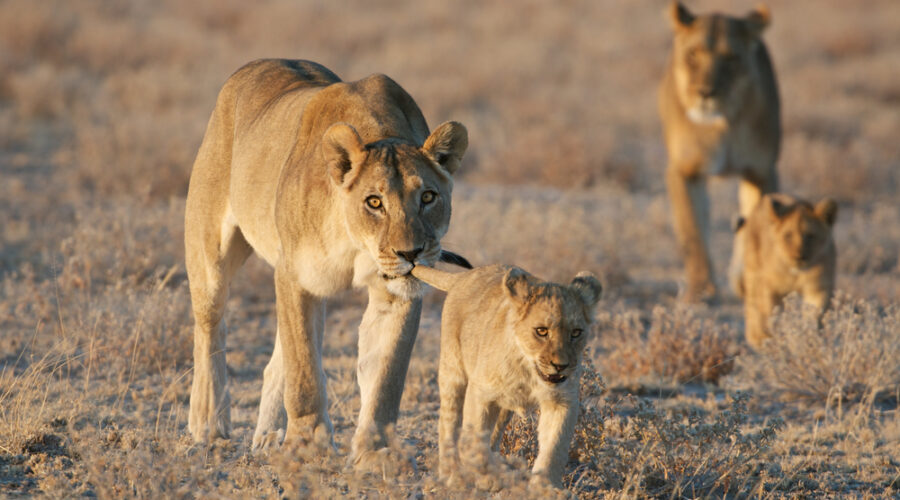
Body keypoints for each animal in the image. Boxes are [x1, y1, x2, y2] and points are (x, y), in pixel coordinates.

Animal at [184, 59, 469, 467]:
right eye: (374, 202)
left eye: (428, 197)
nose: (411, 253)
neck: (355, 243)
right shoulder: (293, 277)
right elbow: (304, 370)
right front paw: (307, 445)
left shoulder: (394, 296)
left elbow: (386, 376)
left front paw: (375, 452)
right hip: (210, 251)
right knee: (211, 329)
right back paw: (210, 428)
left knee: (276, 358)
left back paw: (267, 437)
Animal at [410, 264, 603, 488]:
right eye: (541, 331)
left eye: (576, 333)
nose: (560, 366)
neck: (529, 372)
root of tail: (464, 276)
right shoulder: (480, 393)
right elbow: (474, 441)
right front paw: (487, 477)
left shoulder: (561, 401)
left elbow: (555, 448)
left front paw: (545, 488)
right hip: (453, 373)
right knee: (447, 424)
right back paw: (451, 475)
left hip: (504, 407)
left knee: (494, 434)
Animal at [658, 1, 781, 302]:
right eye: (692, 55)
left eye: (731, 58)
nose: (706, 92)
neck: (721, 124)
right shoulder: (684, 171)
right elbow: (692, 231)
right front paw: (700, 290)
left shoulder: (761, 171)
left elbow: (754, 228)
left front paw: (746, 280)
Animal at [732, 193, 837, 349]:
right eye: (788, 235)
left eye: (810, 236)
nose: (799, 257)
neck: (796, 273)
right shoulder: (771, 288)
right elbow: (772, 314)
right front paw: (774, 339)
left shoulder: (818, 288)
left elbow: (815, 314)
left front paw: (810, 338)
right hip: (753, 273)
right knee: (752, 304)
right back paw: (756, 337)